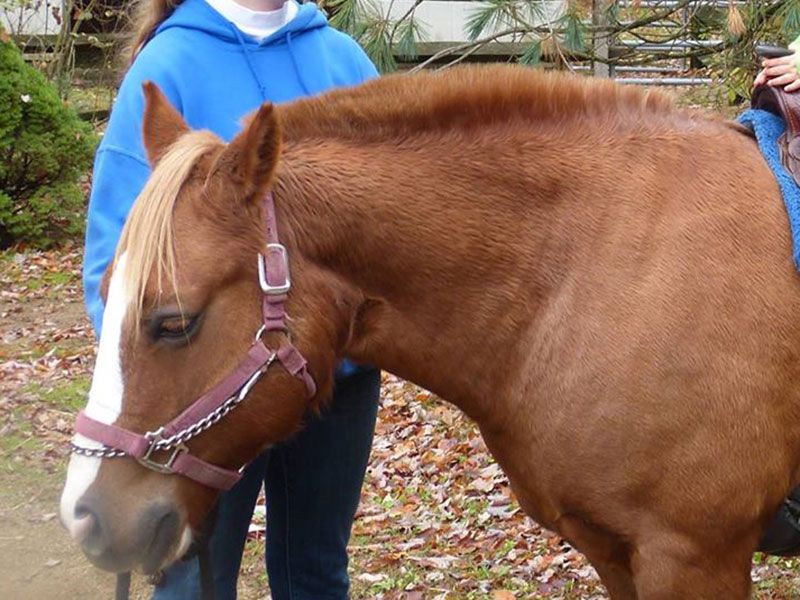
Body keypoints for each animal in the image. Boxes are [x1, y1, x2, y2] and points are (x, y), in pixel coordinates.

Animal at [59, 64, 800, 599]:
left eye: (173, 322)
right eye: (105, 292)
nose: (84, 518)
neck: (596, 265)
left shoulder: (695, 556)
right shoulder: (613, 549)